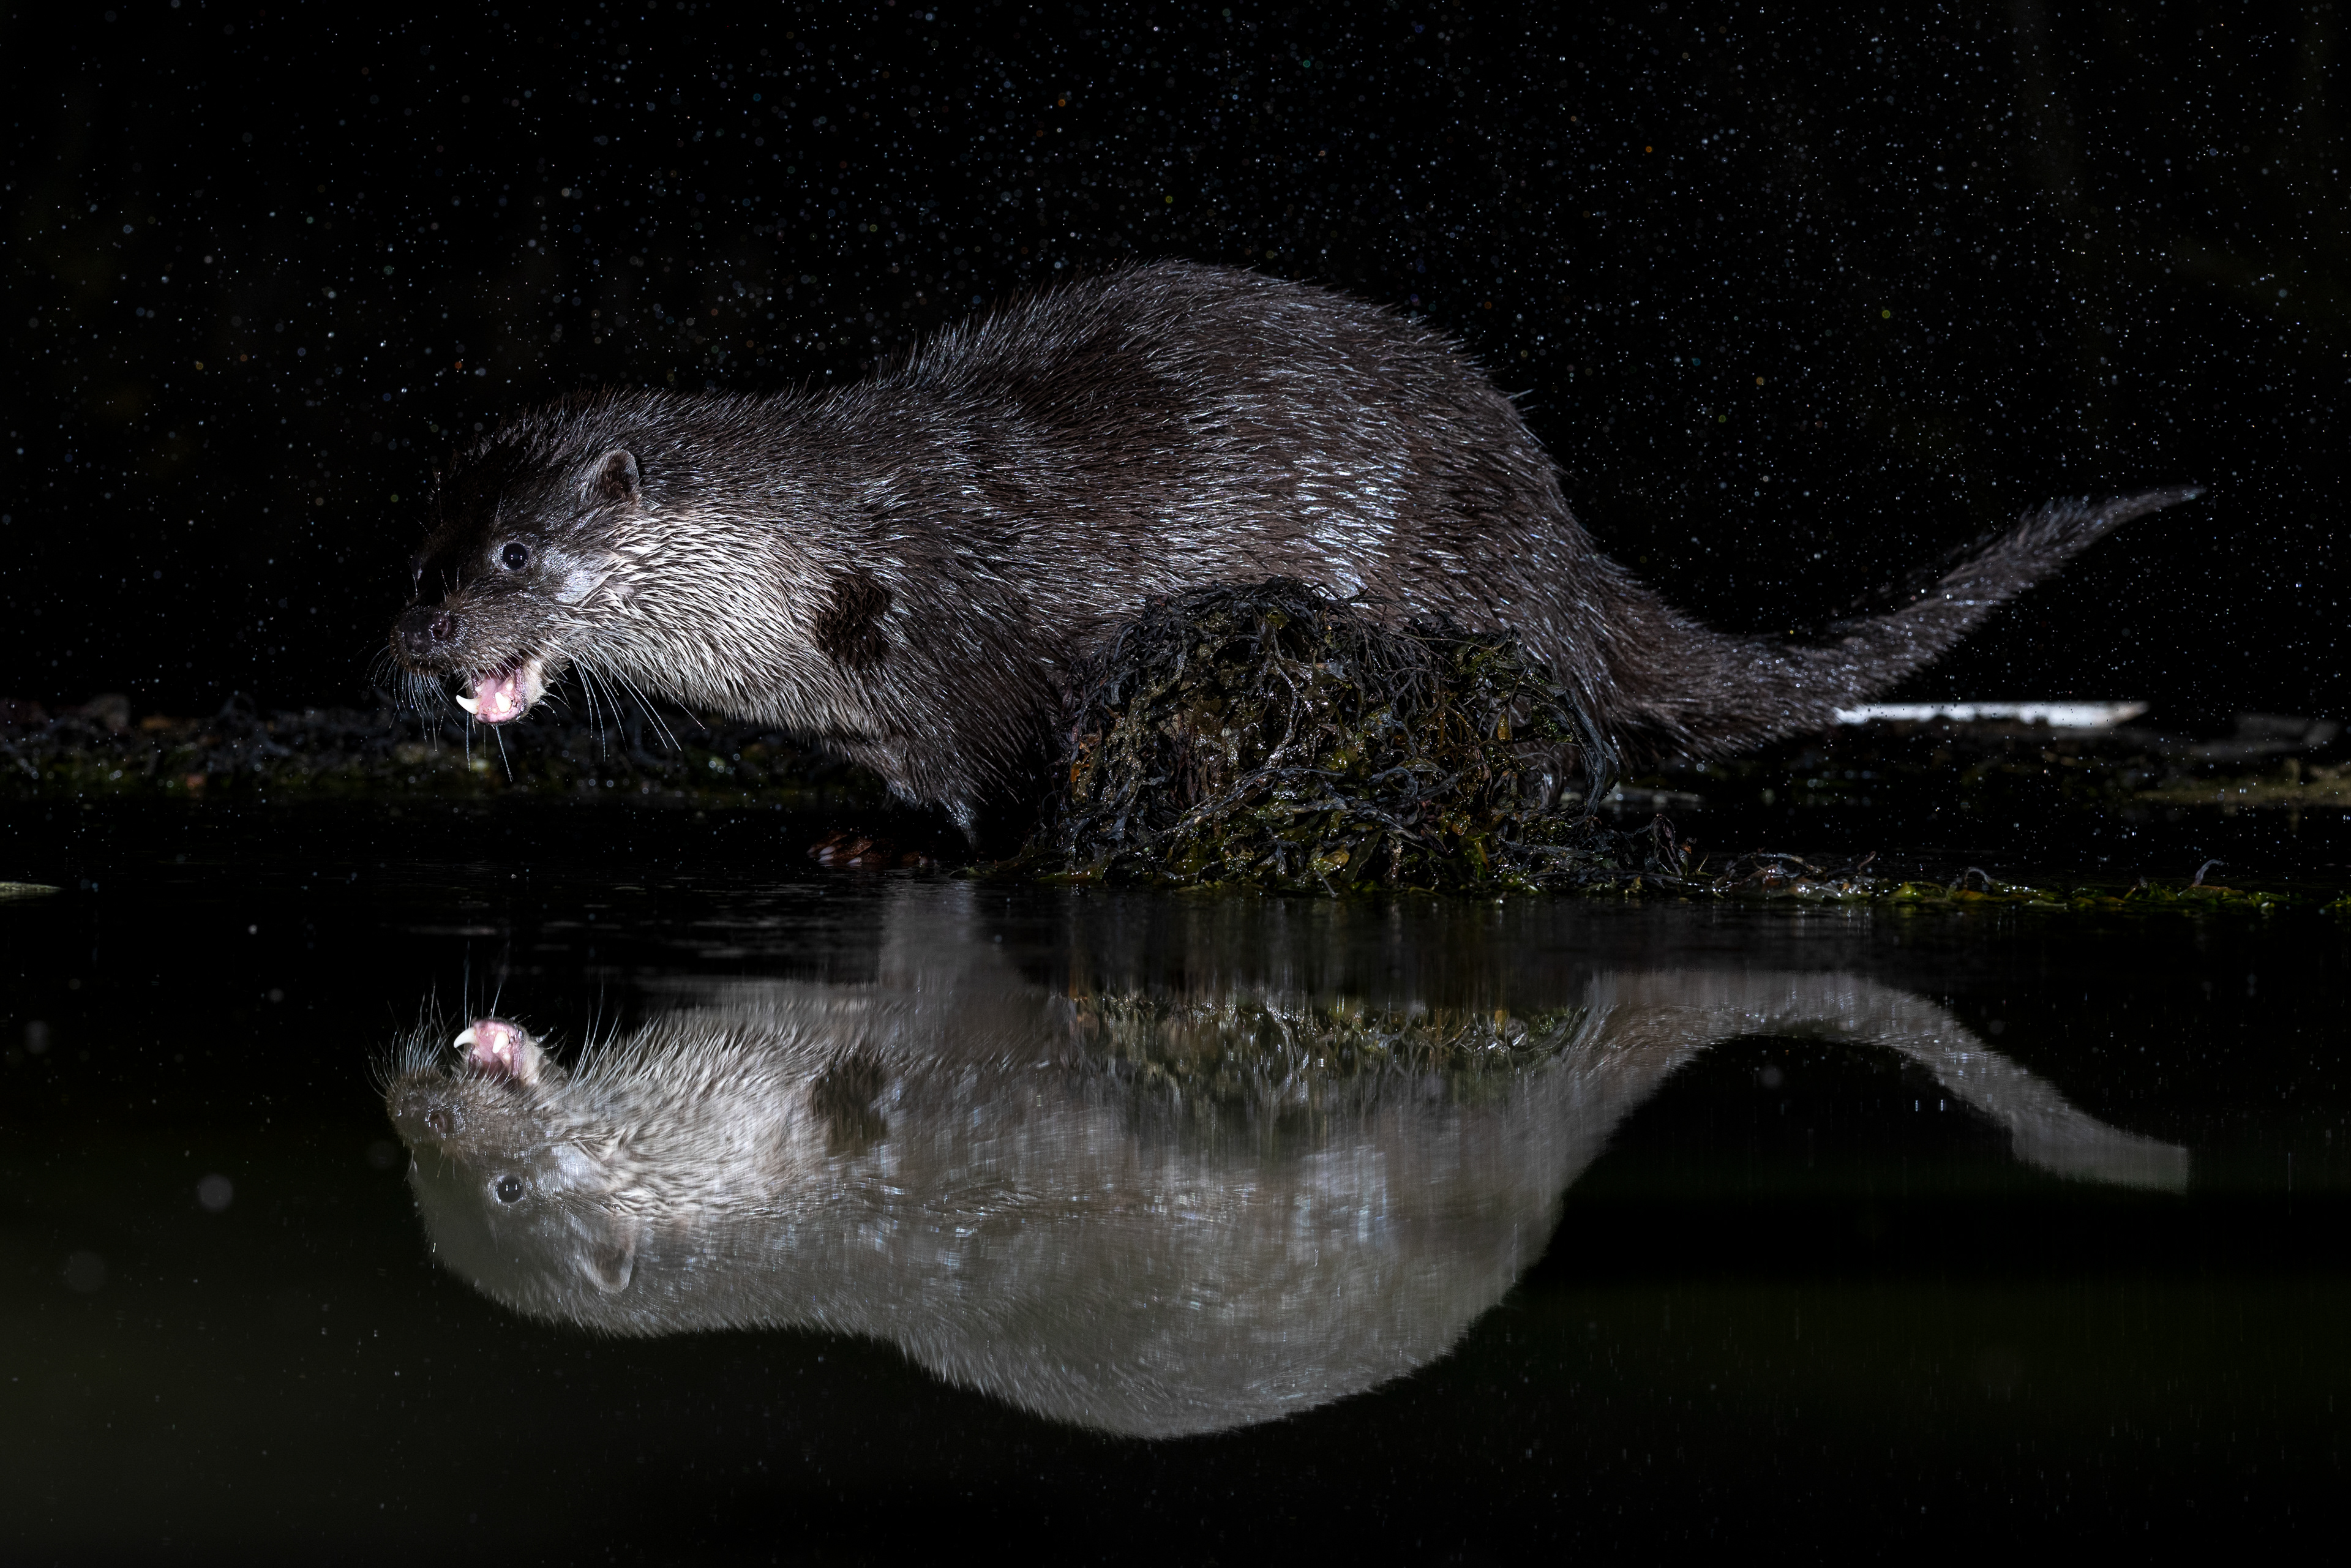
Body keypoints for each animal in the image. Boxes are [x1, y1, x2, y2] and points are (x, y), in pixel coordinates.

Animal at [388, 262, 2196, 837]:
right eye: (423, 550)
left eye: (516, 554)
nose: (418, 650)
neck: (827, 557)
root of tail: (1554, 519)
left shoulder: (970, 642)